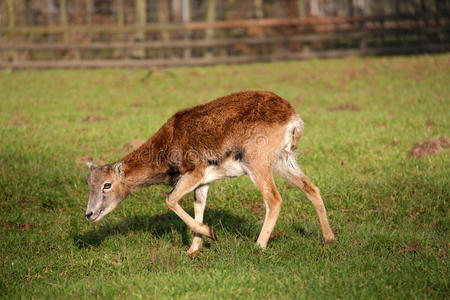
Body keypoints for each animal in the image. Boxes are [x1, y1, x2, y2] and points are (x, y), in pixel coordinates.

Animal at [86, 90, 336, 254]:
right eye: (89, 184)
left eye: (107, 184)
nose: (89, 214)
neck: (168, 144)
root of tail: (293, 118)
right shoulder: (203, 183)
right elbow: (198, 207)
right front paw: (193, 250)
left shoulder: (194, 173)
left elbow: (170, 199)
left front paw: (211, 234)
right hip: (284, 160)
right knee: (311, 189)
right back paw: (329, 239)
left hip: (258, 162)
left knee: (274, 199)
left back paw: (258, 246)